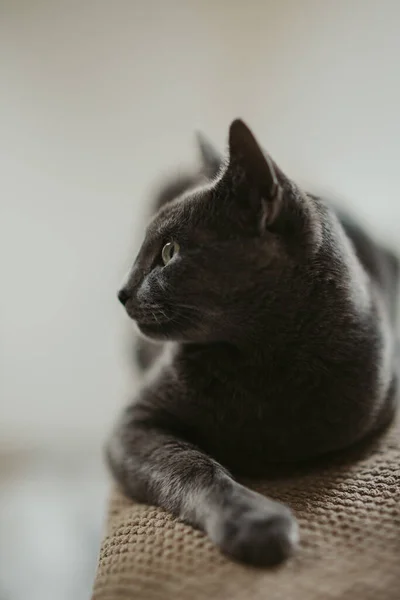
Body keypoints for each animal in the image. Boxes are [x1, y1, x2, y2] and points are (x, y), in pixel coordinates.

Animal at [108, 119, 398, 564]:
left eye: (170, 251)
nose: (121, 292)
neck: (256, 361)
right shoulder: (134, 420)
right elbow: (192, 465)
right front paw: (253, 522)